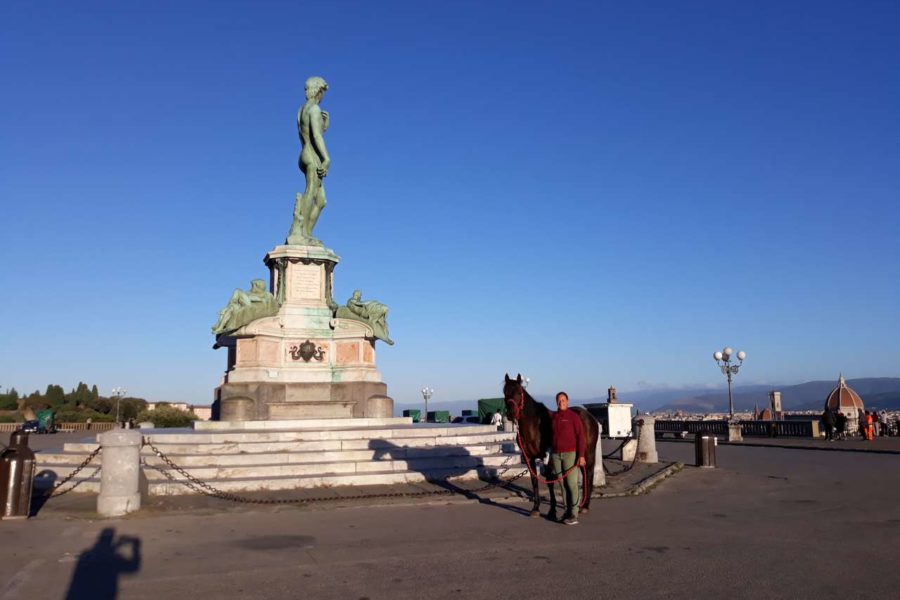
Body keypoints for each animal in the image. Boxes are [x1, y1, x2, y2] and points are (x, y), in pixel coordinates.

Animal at [502, 372, 600, 516]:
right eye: (505, 392)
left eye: (519, 392)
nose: (510, 414)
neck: (534, 425)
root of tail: (590, 417)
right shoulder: (529, 458)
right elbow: (534, 481)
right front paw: (536, 508)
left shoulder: (547, 457)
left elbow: (550, 482)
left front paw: (552, 510)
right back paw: (580, 504)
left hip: (589, 453)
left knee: (589, 473)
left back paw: (585, 505)